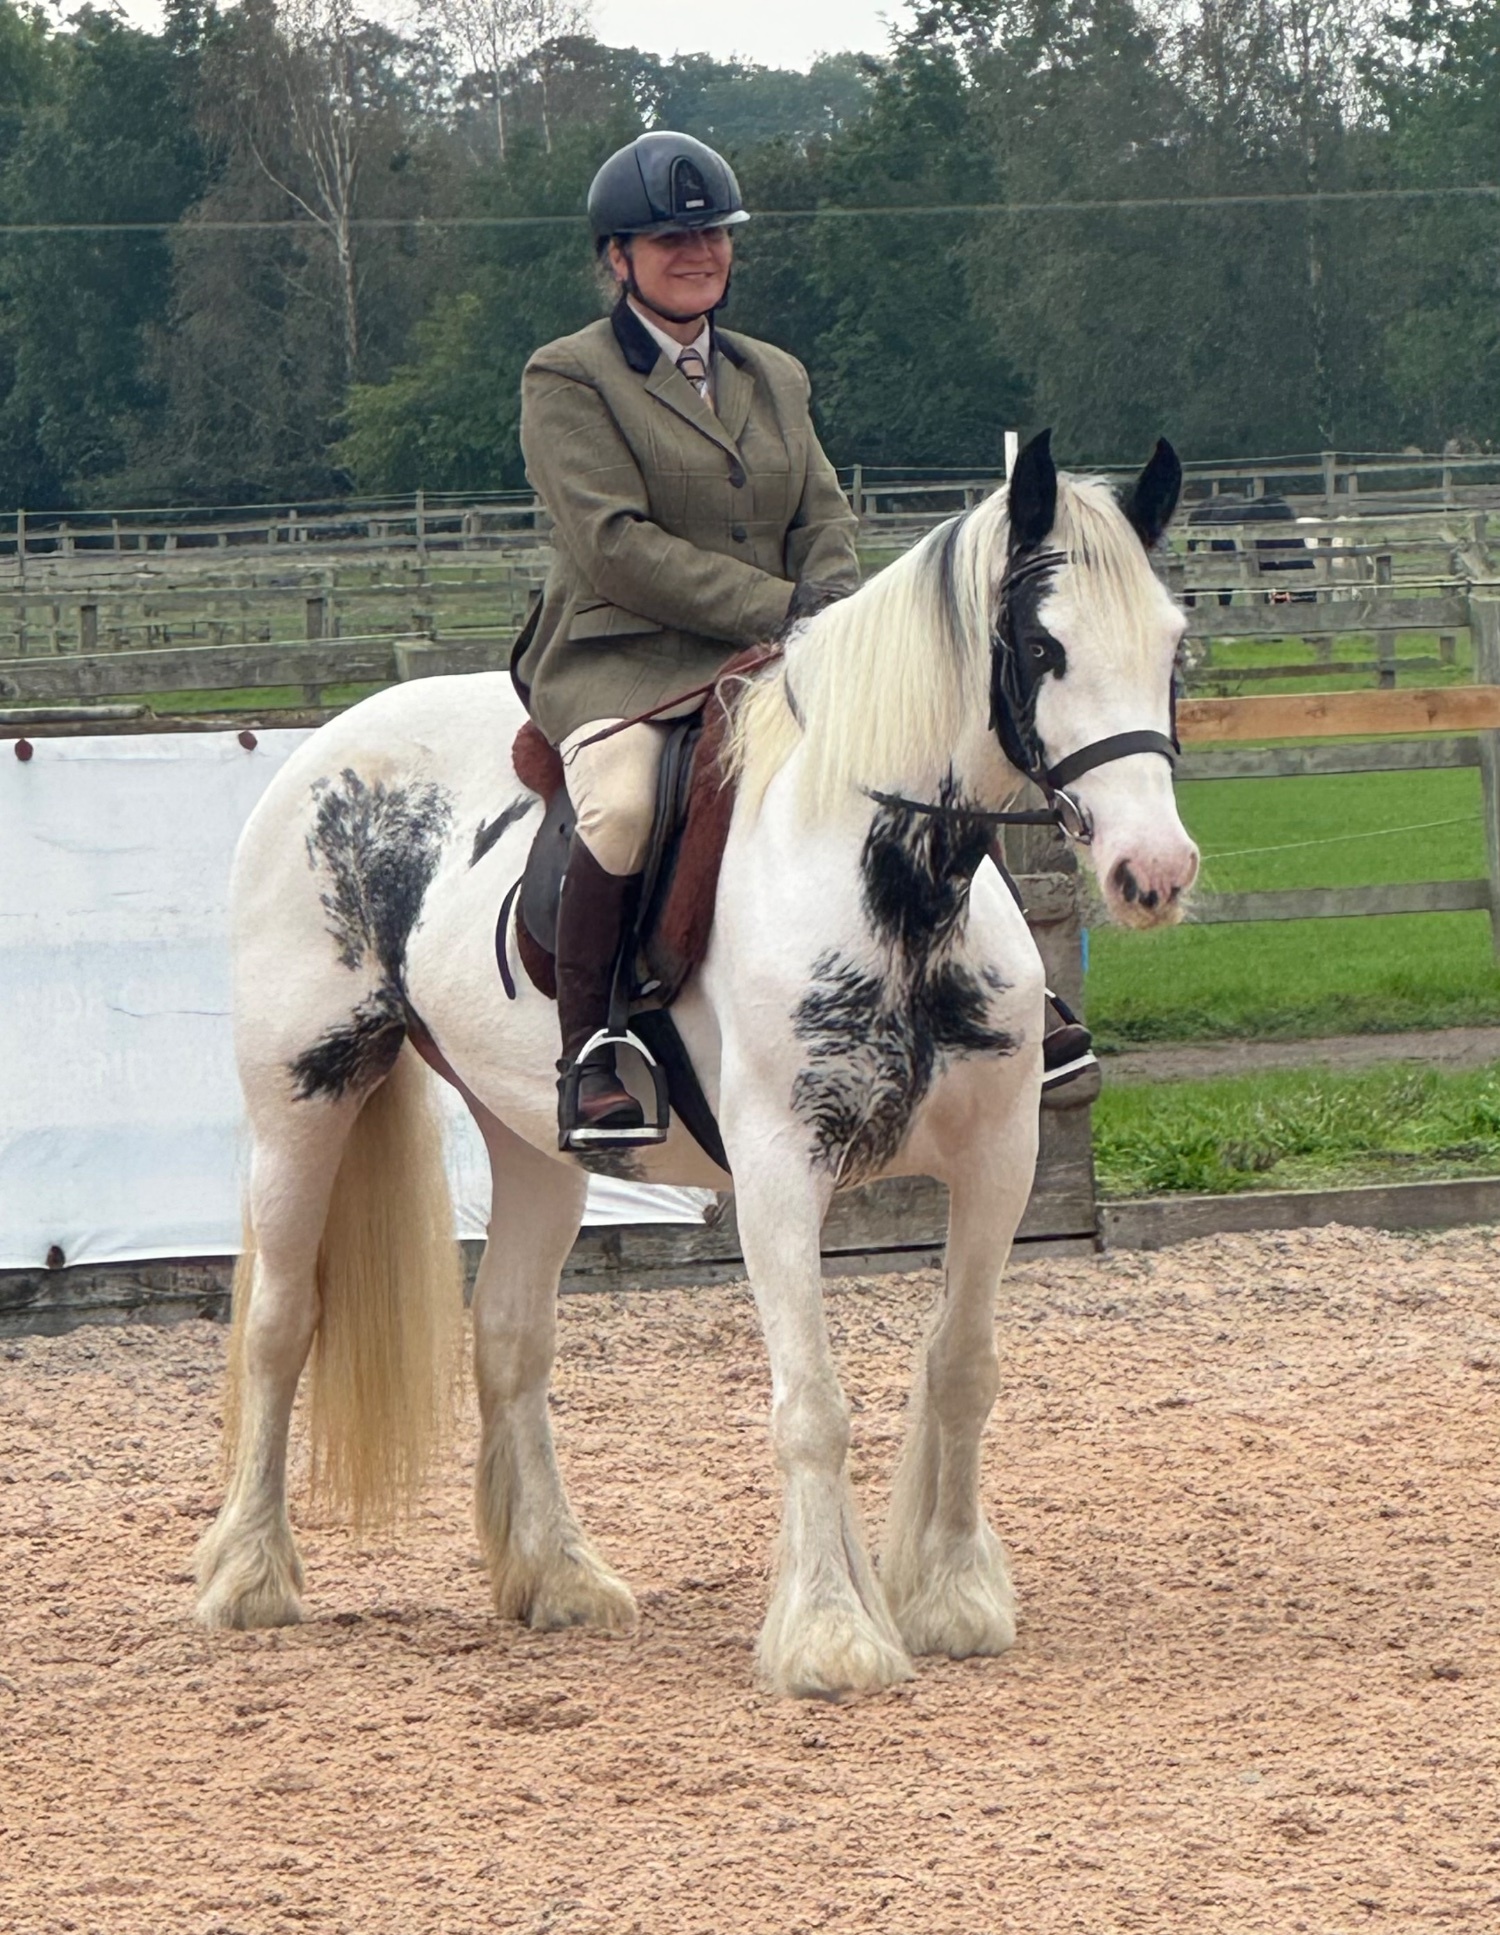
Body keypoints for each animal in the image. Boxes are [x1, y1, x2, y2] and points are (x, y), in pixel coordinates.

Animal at [194, 430, 1199, 1701]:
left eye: (1172, 643)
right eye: (1040, 647)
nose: (1154, 872)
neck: (892, 883)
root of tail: (325, 745)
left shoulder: (999, 1160)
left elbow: (963, 1369)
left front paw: (950, 1598)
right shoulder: (779, 1168)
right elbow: (811, 1404)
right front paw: (830, 1634)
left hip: (537, 1141)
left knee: (511, 1338)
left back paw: (558, 1578)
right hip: (303, 1097)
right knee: (280, 1323)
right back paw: (248, 1577)